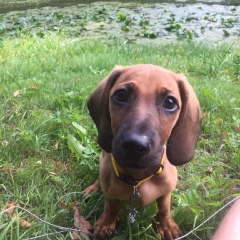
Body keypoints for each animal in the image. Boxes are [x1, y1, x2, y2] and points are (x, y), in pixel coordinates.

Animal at [85, 64, 202, 240]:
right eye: (121, 95)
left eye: (170, 102)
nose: (135, 145)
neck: (137, 179)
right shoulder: (110, 194)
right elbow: (112, 206)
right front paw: (107, 222)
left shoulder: (166, 191)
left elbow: (164, 208)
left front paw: (166, 225)